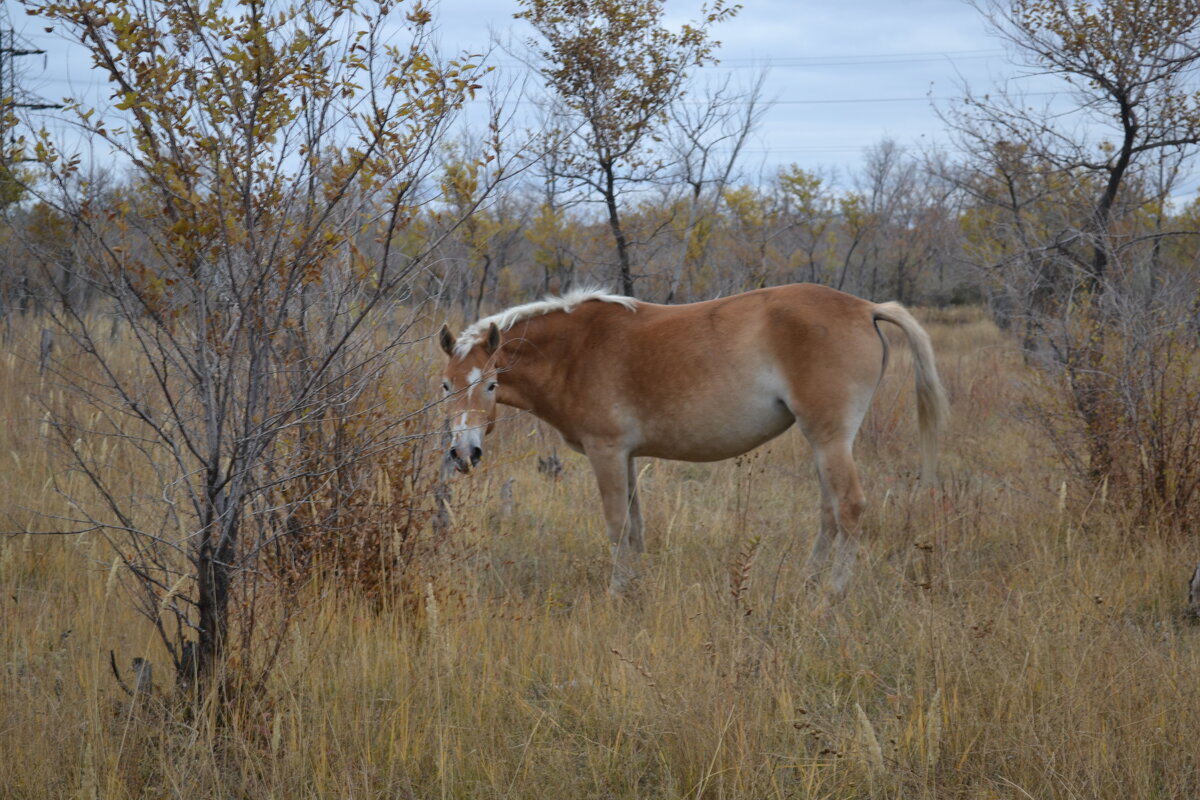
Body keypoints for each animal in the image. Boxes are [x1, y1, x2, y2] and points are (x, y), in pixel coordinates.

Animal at [436, 284, 950, 597]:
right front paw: (636, 588)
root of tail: (866, 307)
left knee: (849, 508)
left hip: (830, 438)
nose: (464, 452)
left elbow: (617, 526)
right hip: (824, 444)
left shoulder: (606, 452)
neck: (577, 351)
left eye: (491, 385)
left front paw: (616, 593)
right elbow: (636, 527)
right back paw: (808, 583)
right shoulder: (626, 457)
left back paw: (829, 596)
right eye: (445, 385)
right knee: (830, 513)